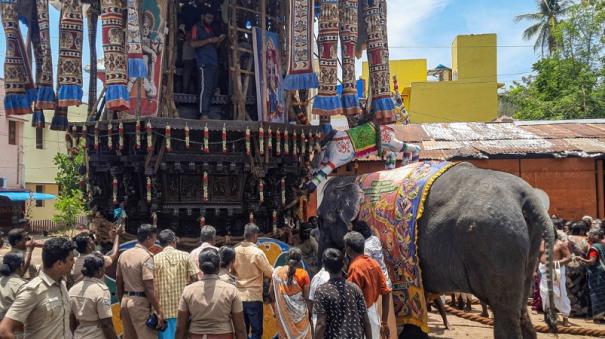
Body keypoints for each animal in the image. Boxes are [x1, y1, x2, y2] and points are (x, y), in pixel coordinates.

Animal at [316, 162, 556, 339]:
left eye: (321, 220)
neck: (354, 178)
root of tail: (528, 196)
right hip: (525, 245)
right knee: (521, 310)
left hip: (496, 241)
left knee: (505, 311)